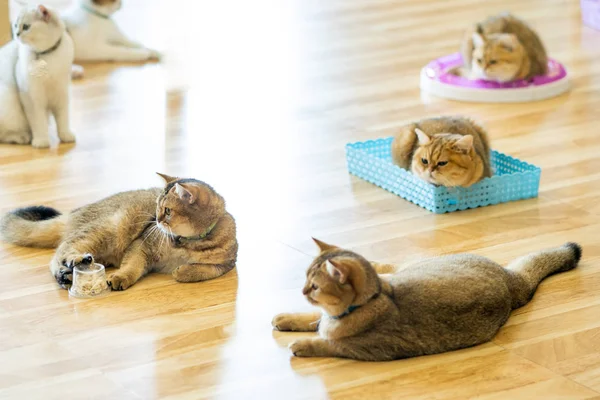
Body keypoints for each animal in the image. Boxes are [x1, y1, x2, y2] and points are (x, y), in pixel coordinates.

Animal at [0, 4, 75, 148]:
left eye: (26, 27)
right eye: (16, 25)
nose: (16, 34)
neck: (47, 56)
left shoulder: (62, 94)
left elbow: (63, 119)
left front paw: (65, 135)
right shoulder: (32, 98)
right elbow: (38, 123)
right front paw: (41, 141)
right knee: (4, 135)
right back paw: (22, 137)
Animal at [0, 173, 239, 290]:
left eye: (167, 211)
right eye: (157, 207)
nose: (156, 220)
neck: (187, 242)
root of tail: (73, 213)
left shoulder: (227, 263)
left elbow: (204, 270)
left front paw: (182, 271)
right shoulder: (140, 246)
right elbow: (132, 266)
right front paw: (121, 278)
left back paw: (67, 273)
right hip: (110, 229)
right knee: (61, 251)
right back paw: (71, 265)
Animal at [272, 239, 580, 360]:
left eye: (313, 286)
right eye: (305, 279)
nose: (302, 291)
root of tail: (508, 277)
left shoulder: (372, 349)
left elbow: (330, 344)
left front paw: (304, 345)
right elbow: (313, 318)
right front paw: (287, 318)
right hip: (408, 268)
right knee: (388, 265)